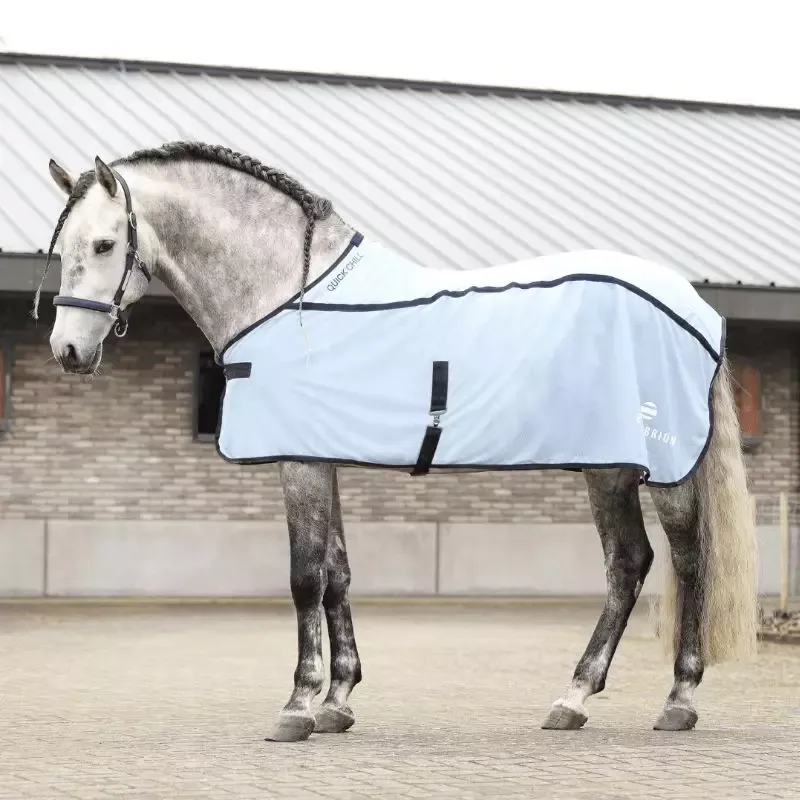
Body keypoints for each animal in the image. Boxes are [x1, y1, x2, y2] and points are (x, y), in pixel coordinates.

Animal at [37, 141, 758, 742]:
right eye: (64, 246)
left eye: (103, 244)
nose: (68, 352)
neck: (290, 297)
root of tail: (692, 306)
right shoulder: (321, 458)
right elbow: (335, 573)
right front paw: (338, 701)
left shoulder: (299, 462)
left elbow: (304, 576)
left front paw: (297, 707)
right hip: (610, 466)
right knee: (635, 563)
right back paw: (578, 699)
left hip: (649, 468)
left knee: (677, 560)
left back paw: (668, 699)